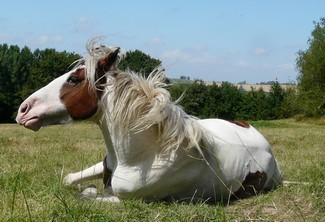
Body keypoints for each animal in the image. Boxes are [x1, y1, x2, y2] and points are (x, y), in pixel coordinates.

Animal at [15, 38, 280, 203]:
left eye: (74, 79)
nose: (23, 110)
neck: (146, 155)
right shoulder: (103, 164)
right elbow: (69, 179)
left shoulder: (128, 200)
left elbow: (86, 196)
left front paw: (88, 190)